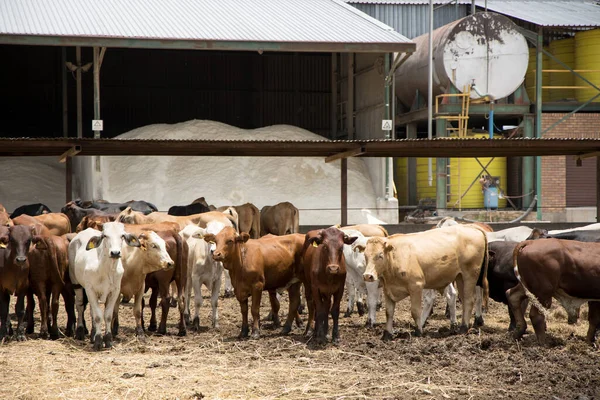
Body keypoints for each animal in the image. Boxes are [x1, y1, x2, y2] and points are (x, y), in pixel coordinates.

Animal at [68, 222, 141, 350]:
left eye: (122, 236)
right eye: (105, 236)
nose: (115, 253)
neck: (105, 270)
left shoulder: (115, 292)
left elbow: (107, 315)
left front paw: (107, 340)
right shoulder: (90, 289)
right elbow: (98, 316)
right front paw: (98, 341)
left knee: (91, 310)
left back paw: (92, 334)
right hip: (76, 282)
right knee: (80, 306)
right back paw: (80, 331)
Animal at [360, 223, 488, 340]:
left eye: (380, 255)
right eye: (365, 255)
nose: (367, 276)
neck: (395, 257)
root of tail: (473, 228)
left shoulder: (416, 286)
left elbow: (415, 311)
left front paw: (418, 331)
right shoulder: (388, 290)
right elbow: (389, 312)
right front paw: (387, 334)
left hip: (470, 276)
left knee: (469, 300)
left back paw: (464, 328)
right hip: (460, 277)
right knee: (465, 300)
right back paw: (462, 326)